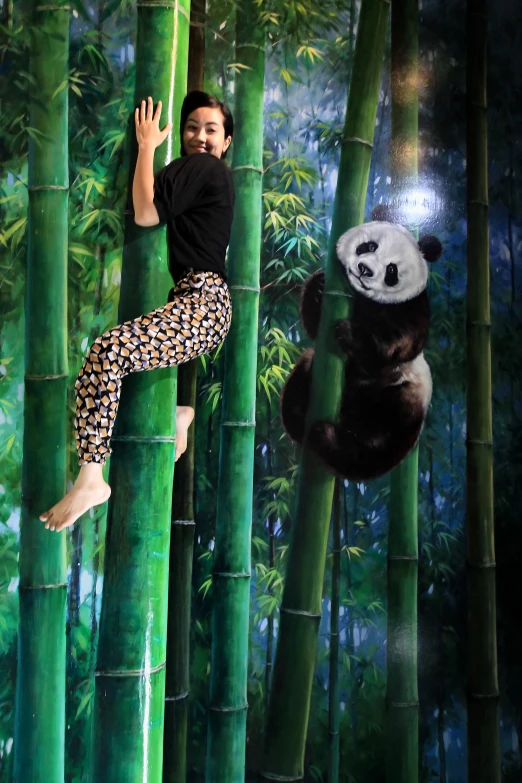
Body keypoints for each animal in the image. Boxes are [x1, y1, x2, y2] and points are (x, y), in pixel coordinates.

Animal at [278, 217, 440, 480]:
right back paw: (301, 416)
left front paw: (351, 334)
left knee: (376, 450)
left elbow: (401, 342)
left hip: (402, 400)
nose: (365, 269)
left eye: (392, 270)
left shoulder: (412, 308)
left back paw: (329, 438)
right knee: (303, 373)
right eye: (369, 246)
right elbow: (315, 328)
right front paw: (319, 287)